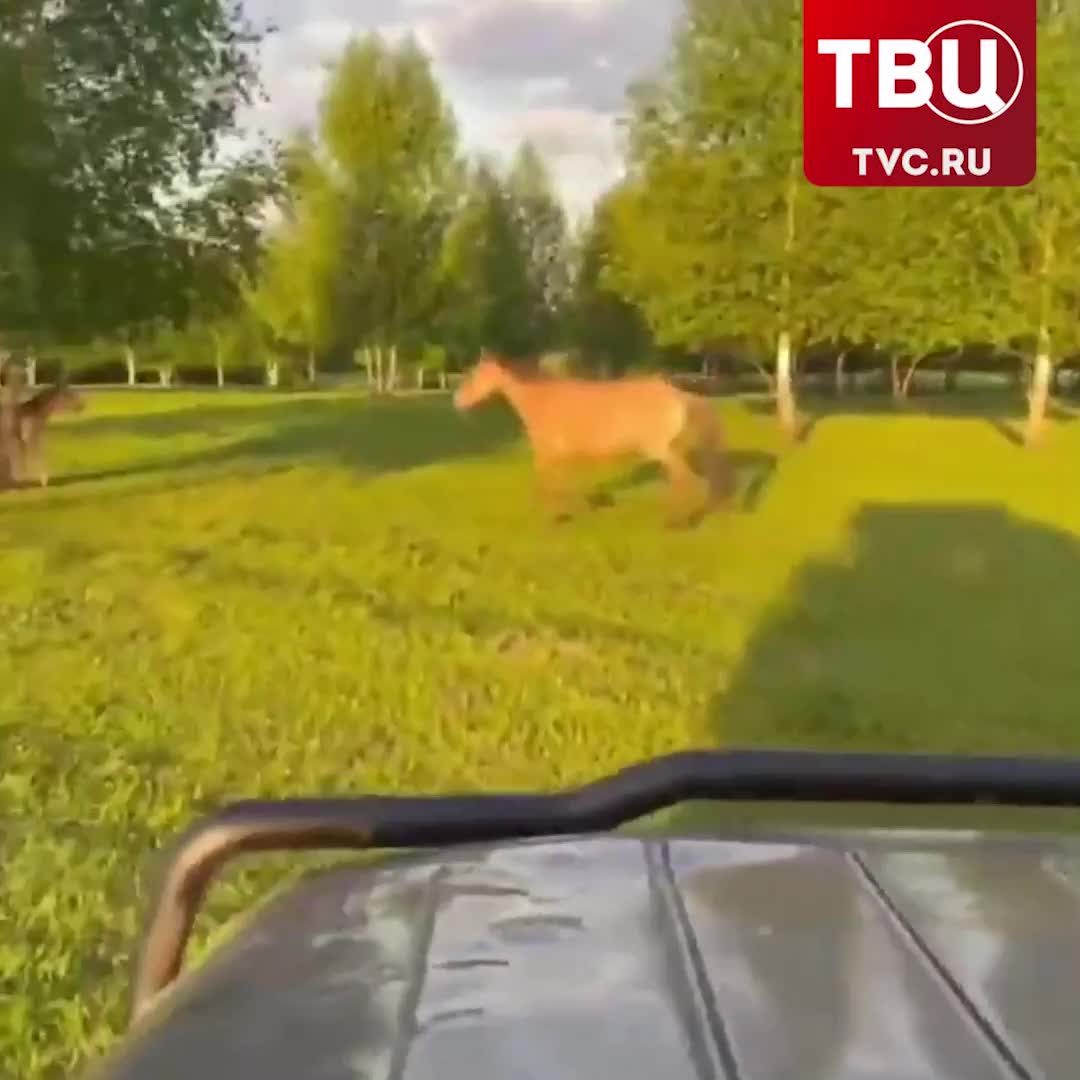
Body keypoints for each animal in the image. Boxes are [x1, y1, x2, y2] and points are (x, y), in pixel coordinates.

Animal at [454, 351, 735, 527]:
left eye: (475, 375)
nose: (457, 401)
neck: (542, 401)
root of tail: (677, 393)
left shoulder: (546, 454)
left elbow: (546, 486)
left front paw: (551, 520)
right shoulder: (562, 455)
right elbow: (565, 485)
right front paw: (576, 511)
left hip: (660, 449)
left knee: (685, 480)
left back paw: (677, 524)